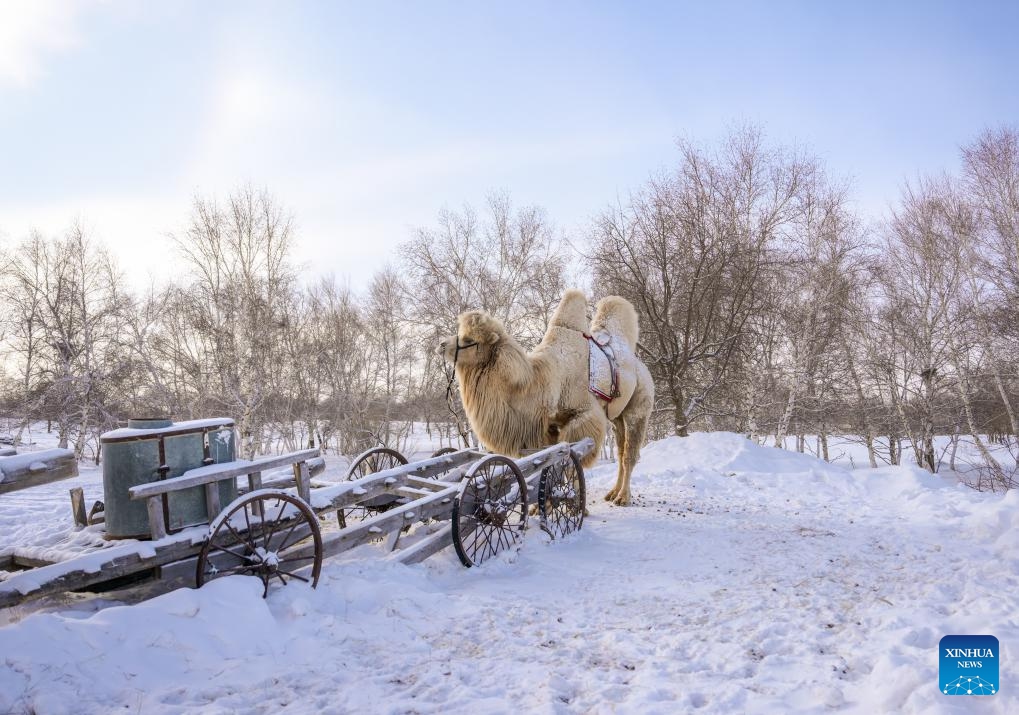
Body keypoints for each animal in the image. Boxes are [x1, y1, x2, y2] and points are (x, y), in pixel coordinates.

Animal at [438, 289, 652, 505]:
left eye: (469, 340)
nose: (441, 344)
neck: (541, 381)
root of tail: (641, 366)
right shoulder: (549, 425)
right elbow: (550, 461)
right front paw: (545, 504)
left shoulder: (584, 415)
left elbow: (572, 459)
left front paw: (575, 504)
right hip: (617, 417)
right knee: (621, 450)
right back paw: (612, 493)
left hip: (639, 409)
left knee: (629, 454)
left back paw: (622, 497)